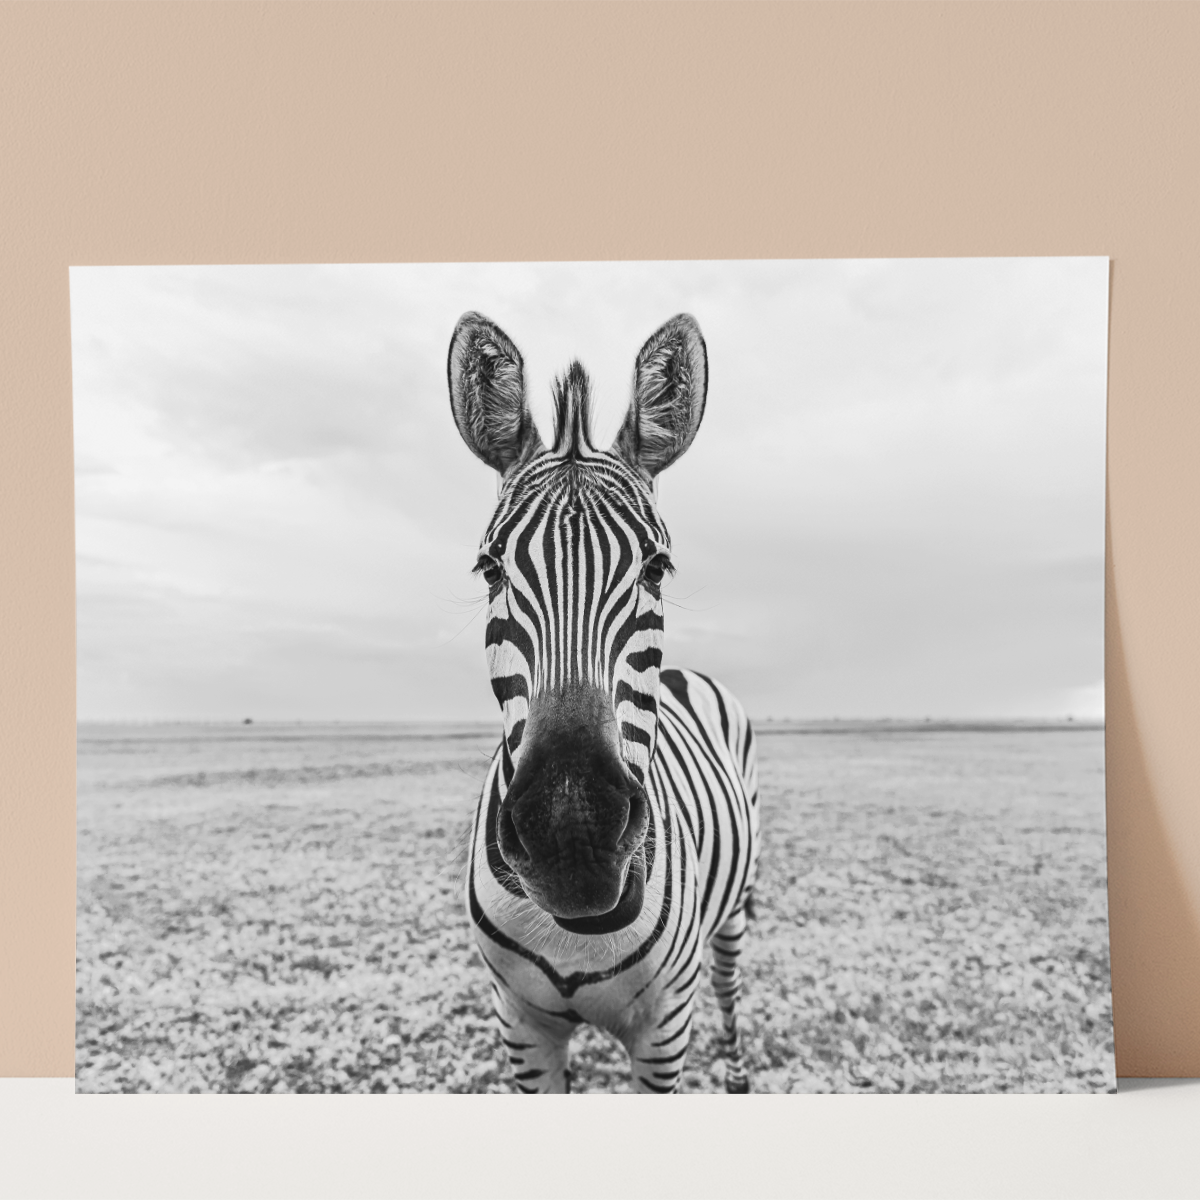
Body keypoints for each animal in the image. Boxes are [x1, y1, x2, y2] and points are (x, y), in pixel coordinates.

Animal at [448, 311, 761, 1094]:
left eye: (657, 567)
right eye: (490, 568)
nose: (574, 836)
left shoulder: (662, 1032)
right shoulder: (520, 1026)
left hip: (735, 912)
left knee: (729, 984)